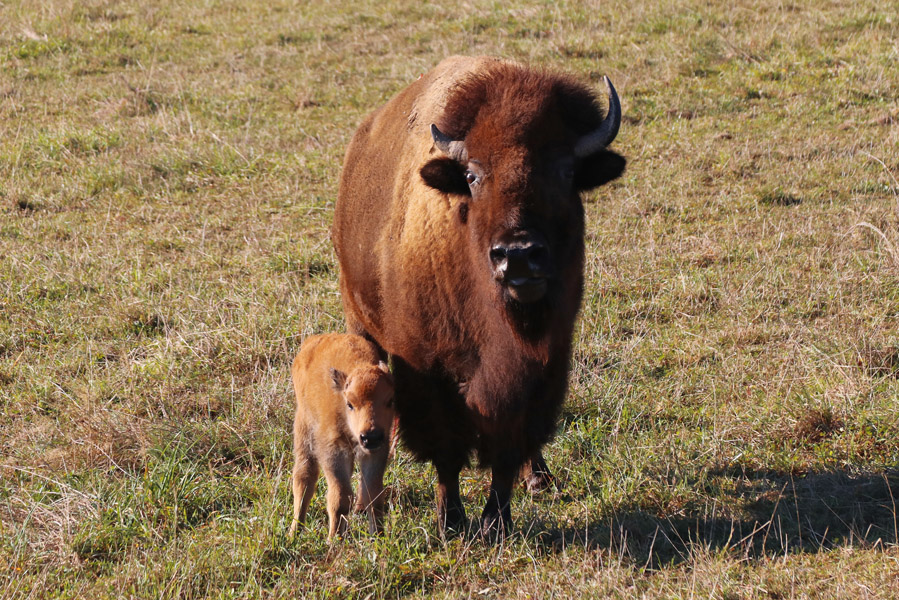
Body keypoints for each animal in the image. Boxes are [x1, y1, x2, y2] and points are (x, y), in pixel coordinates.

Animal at [288, 332, 394, 540]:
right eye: (350, 404)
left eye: (389, 401)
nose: (370, 436)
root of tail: (311, 343)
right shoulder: (333, 450)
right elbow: (340, 497)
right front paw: (334, 540)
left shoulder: (376, 451)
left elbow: (373, 495)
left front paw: (378, 537)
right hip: (304, 428)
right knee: (304, 477)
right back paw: (294, 532)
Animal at [332, 56, 624, 536]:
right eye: (472, 175)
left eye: (566, 171)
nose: (518, 256)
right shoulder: (427, 373)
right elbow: (446, 451)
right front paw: (450, 520)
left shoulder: (542, 369)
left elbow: (510, 444)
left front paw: (496, 521)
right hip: (360, 323)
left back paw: (538, 478)